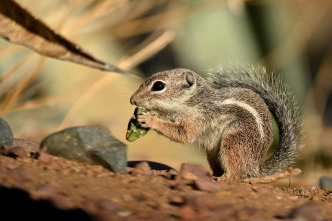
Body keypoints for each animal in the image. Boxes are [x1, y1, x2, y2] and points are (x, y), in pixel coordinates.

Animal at [130, 64, 304, 180]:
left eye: (159, 85)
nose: (132, 100)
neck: (193, 100)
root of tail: (254, 166)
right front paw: (150, 114)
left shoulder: (198, 118)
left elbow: (184, 135)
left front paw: (149, 119)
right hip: (213, 153)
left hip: (233, 140)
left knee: (235, 175)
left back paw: (223, 178)